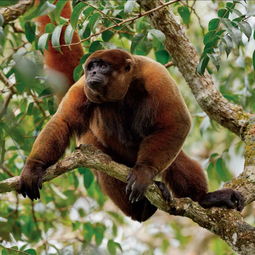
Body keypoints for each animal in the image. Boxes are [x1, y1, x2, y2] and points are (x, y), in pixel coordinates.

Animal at [18, 49, 244, 221]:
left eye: (103, 66)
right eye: (91, 67)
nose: (92, 72)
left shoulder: (157, 74)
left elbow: (177, 123)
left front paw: (144, 172)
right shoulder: (83, 86)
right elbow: (63, 121)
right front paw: (34, 167)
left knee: (176, 157)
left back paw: (203, 198)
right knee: (105, 163)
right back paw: (140, 210)